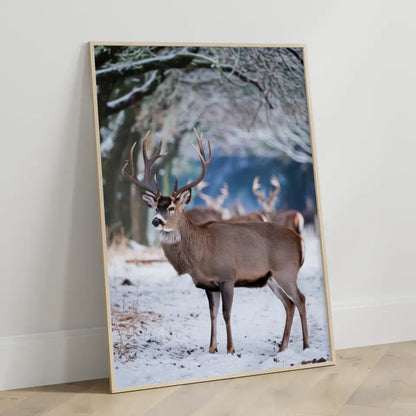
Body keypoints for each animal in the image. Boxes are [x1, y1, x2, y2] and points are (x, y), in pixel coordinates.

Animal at [122, 128, 310, 352]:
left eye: (171, 207)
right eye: (156, 206)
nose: (156, 220)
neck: (201, 253)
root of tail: (300, 240)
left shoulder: (227, 276)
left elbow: (226, 313)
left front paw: (230, 349)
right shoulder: (208, 285)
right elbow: (212, 315)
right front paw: (212, 349)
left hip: (286, 269)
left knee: (300, 299)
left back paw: (306, 345)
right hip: (271, 276)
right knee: (289, 303)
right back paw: (283, 347)